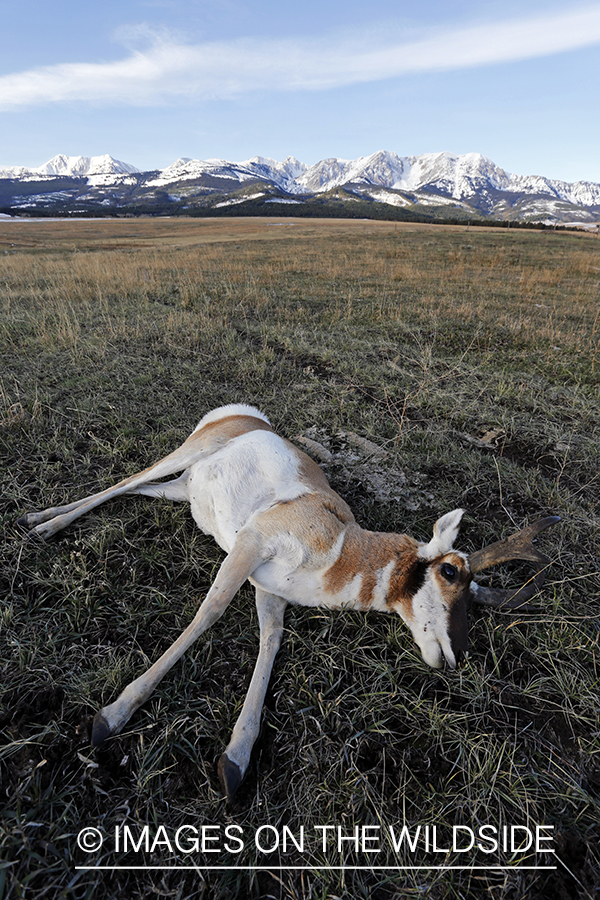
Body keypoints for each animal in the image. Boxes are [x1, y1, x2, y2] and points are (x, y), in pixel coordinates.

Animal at [19, 404, 564, 800]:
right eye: (450, 572)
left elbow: (270, 643)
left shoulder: (268, 590)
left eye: (476, 597)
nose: (457, 655)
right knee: (126, 481)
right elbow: (209, 613)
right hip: (184, 456)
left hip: (181, 490)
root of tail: (251, 417)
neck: (344, 545)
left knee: (140, 490)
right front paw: (112, 716)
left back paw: (39, 520)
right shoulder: (251, 544)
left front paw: (236, 760)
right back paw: (46, 523)